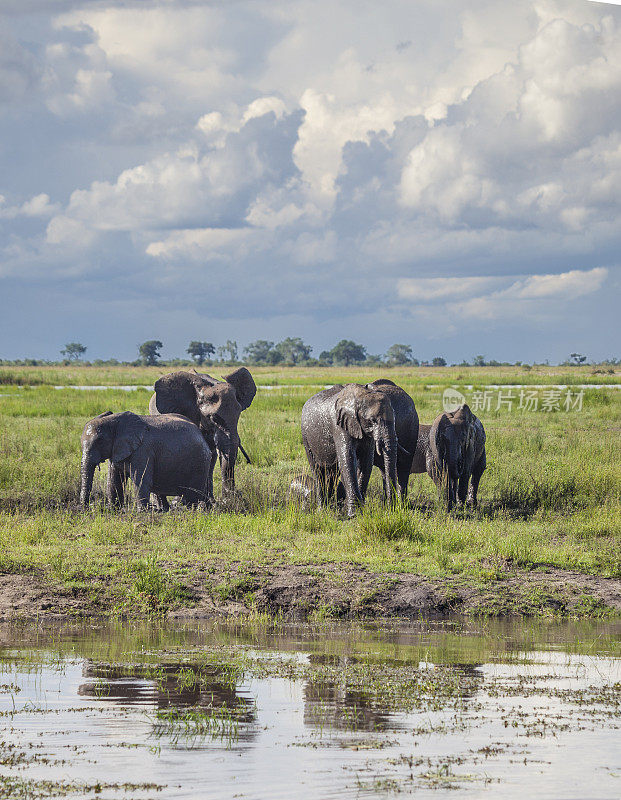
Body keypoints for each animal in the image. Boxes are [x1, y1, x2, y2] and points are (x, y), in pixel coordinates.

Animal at [80, 410, 216, 510]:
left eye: (99, 441)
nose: (86, 509)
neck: (114, 420)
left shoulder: (143, 450)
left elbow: (140, 480)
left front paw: (142, 511)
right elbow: (114, 481)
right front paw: (113, 509)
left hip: (199, 463)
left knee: (192, 495)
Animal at [300, 382, 398, 520]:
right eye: (372, 420)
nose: (390, 508)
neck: (360, 395)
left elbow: (366, 463)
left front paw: (361, 510)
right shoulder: (339, 425)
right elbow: (348, 460)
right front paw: (354, 514)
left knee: (333, 473)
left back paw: (331, 509)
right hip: (306, 437)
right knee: (318, 471)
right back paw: (322, 510)